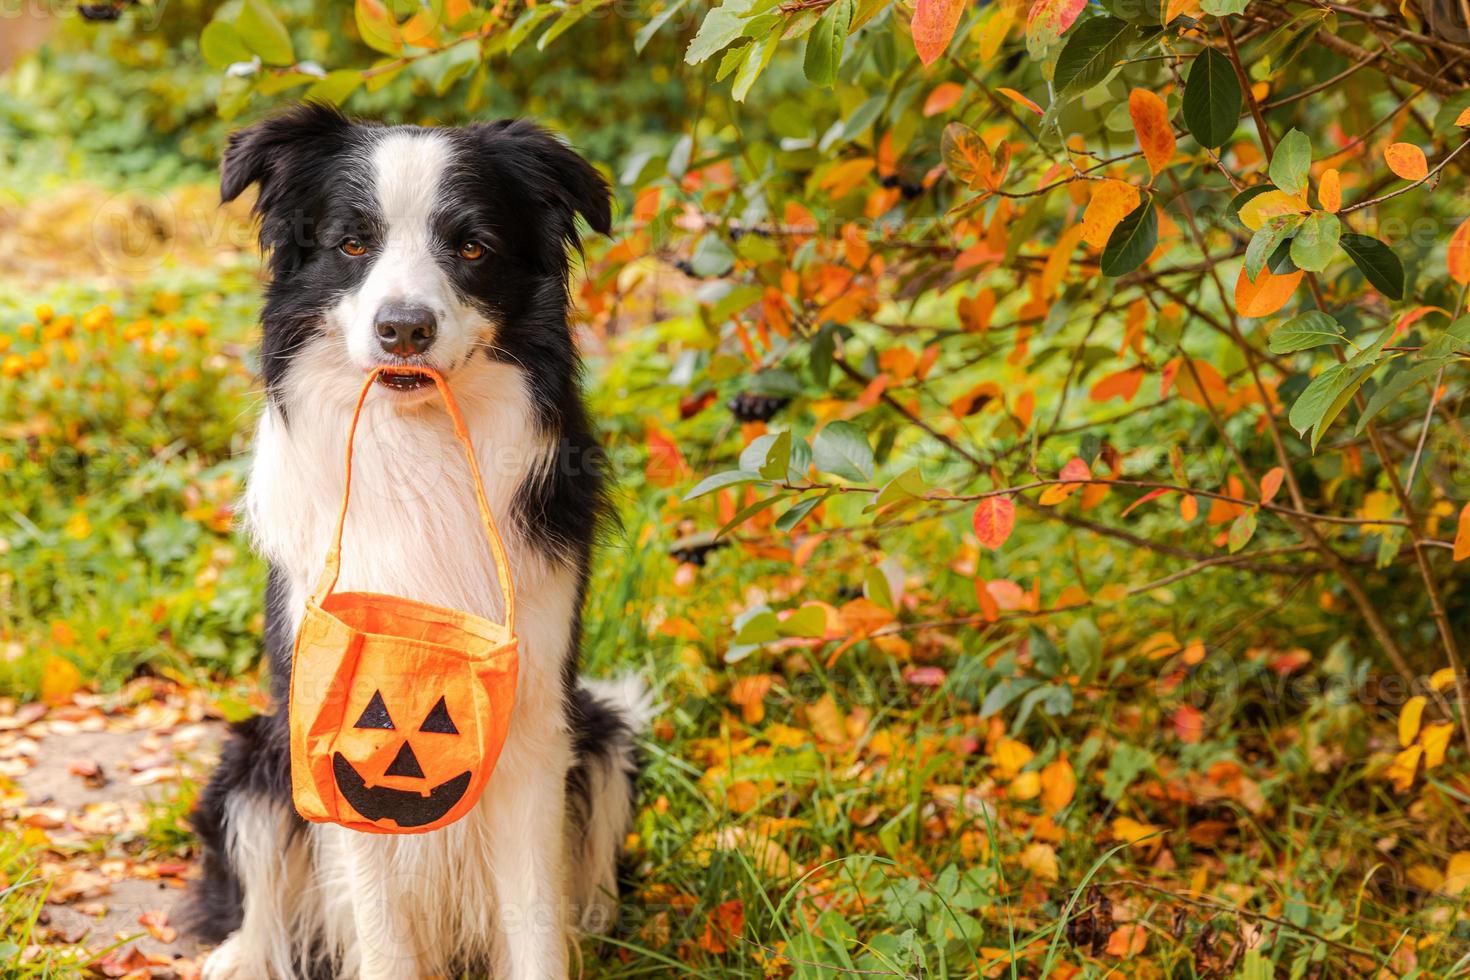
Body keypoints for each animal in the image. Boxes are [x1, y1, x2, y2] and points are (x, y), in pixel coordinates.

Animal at [183, 105, 643, 980]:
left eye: (472, 247)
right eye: (351, 243)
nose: (403, 329)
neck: (416, 451)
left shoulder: (534, 721)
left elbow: (534, 918)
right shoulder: (329, 724)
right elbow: (380, 926)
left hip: (604, 731)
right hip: (254, 755)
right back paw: (238, 953)